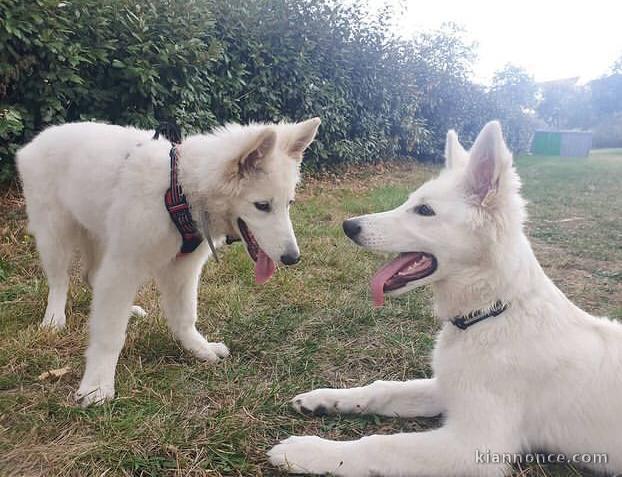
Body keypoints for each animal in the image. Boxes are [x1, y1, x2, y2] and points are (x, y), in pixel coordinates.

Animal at [18, 117, 322, 404]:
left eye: (289, 204)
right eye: (262, 206)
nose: (292, 258)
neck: (182, 192)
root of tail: (36, 142)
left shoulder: (182, 269)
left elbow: (185, 315)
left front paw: (200, 349)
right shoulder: (123, 267)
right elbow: (109, 334)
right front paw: (97, 384)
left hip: (100, 234)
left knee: (92, 276)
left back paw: (129, 310)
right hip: (56, 235)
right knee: (60, 281)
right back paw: (54, 319)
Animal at [270, 122, 622, 476]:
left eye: (425, 211)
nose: (348, 225)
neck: (491, 312)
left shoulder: (474, 448)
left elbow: (379, 445)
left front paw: (306, 450)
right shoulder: (446, 387)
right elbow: (382, 388)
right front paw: (324, 399)